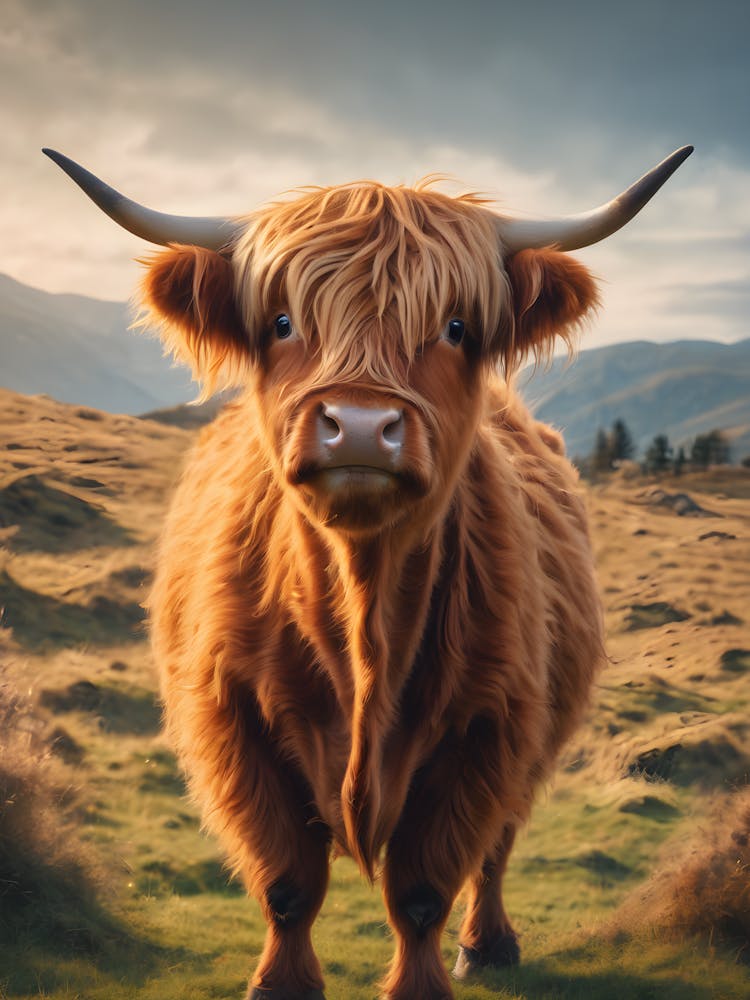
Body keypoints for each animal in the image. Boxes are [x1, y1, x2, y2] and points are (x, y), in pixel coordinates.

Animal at [45, 145, 692, 1000]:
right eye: (283, 321)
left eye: (455, 326)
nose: (357, 427)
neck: (363, 616)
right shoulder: (235, 719)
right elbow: (288, 882)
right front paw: (281, 984)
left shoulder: (486, 731)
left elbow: (422, 890)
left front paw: (421, 984)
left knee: (498, 847)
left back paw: (489, 945)